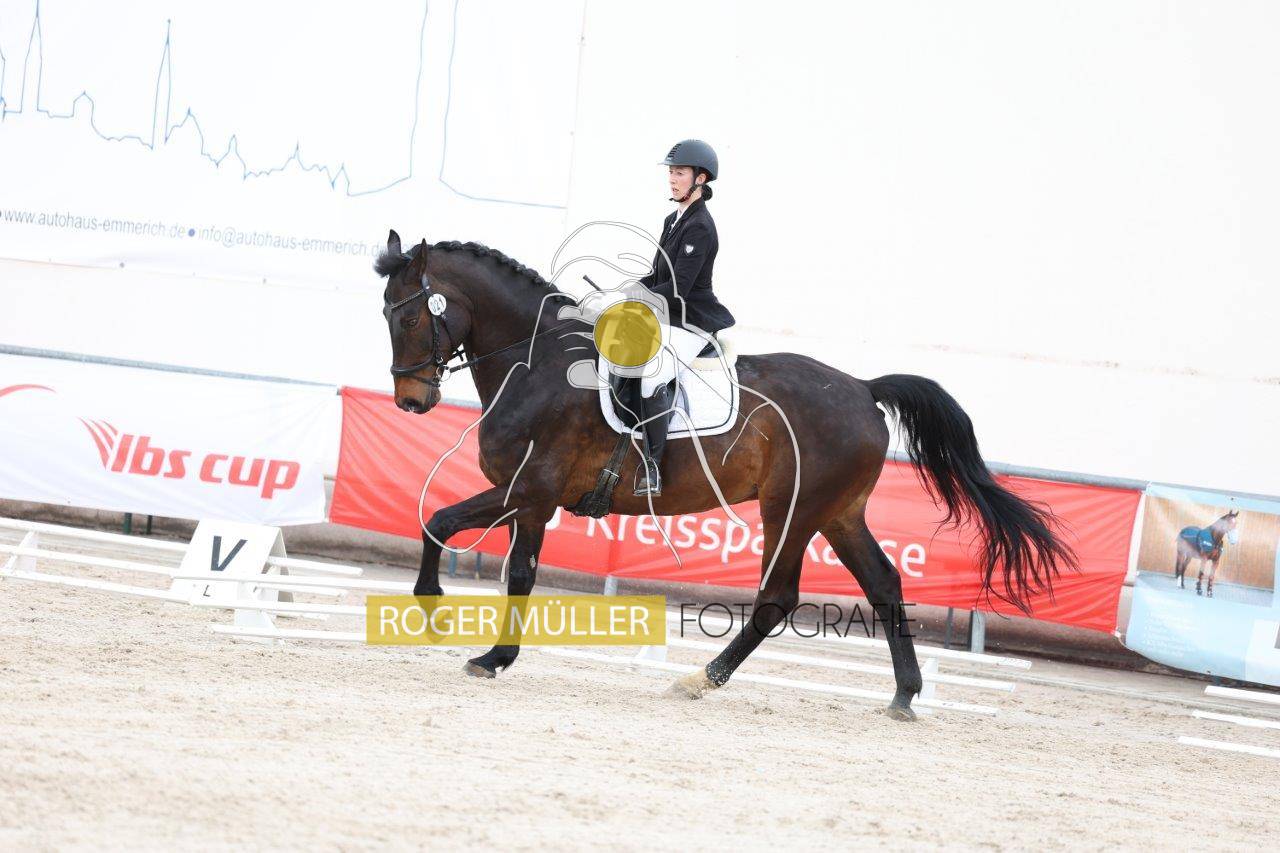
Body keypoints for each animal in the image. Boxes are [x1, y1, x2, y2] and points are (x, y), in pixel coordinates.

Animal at [377, 230, 1075, 721]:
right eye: (386, 315)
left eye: (409, 317)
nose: (411, 401)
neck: (536, 362)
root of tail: (862, 388)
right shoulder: (530, 498)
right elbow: (471, 542)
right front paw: (459, 630)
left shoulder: (533, 491)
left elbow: (479, 546)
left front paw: (465, 636)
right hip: (838, 513)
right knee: (883, 583)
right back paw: (904, 696)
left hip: (792, 509)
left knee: (777, 598)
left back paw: (701, 678)